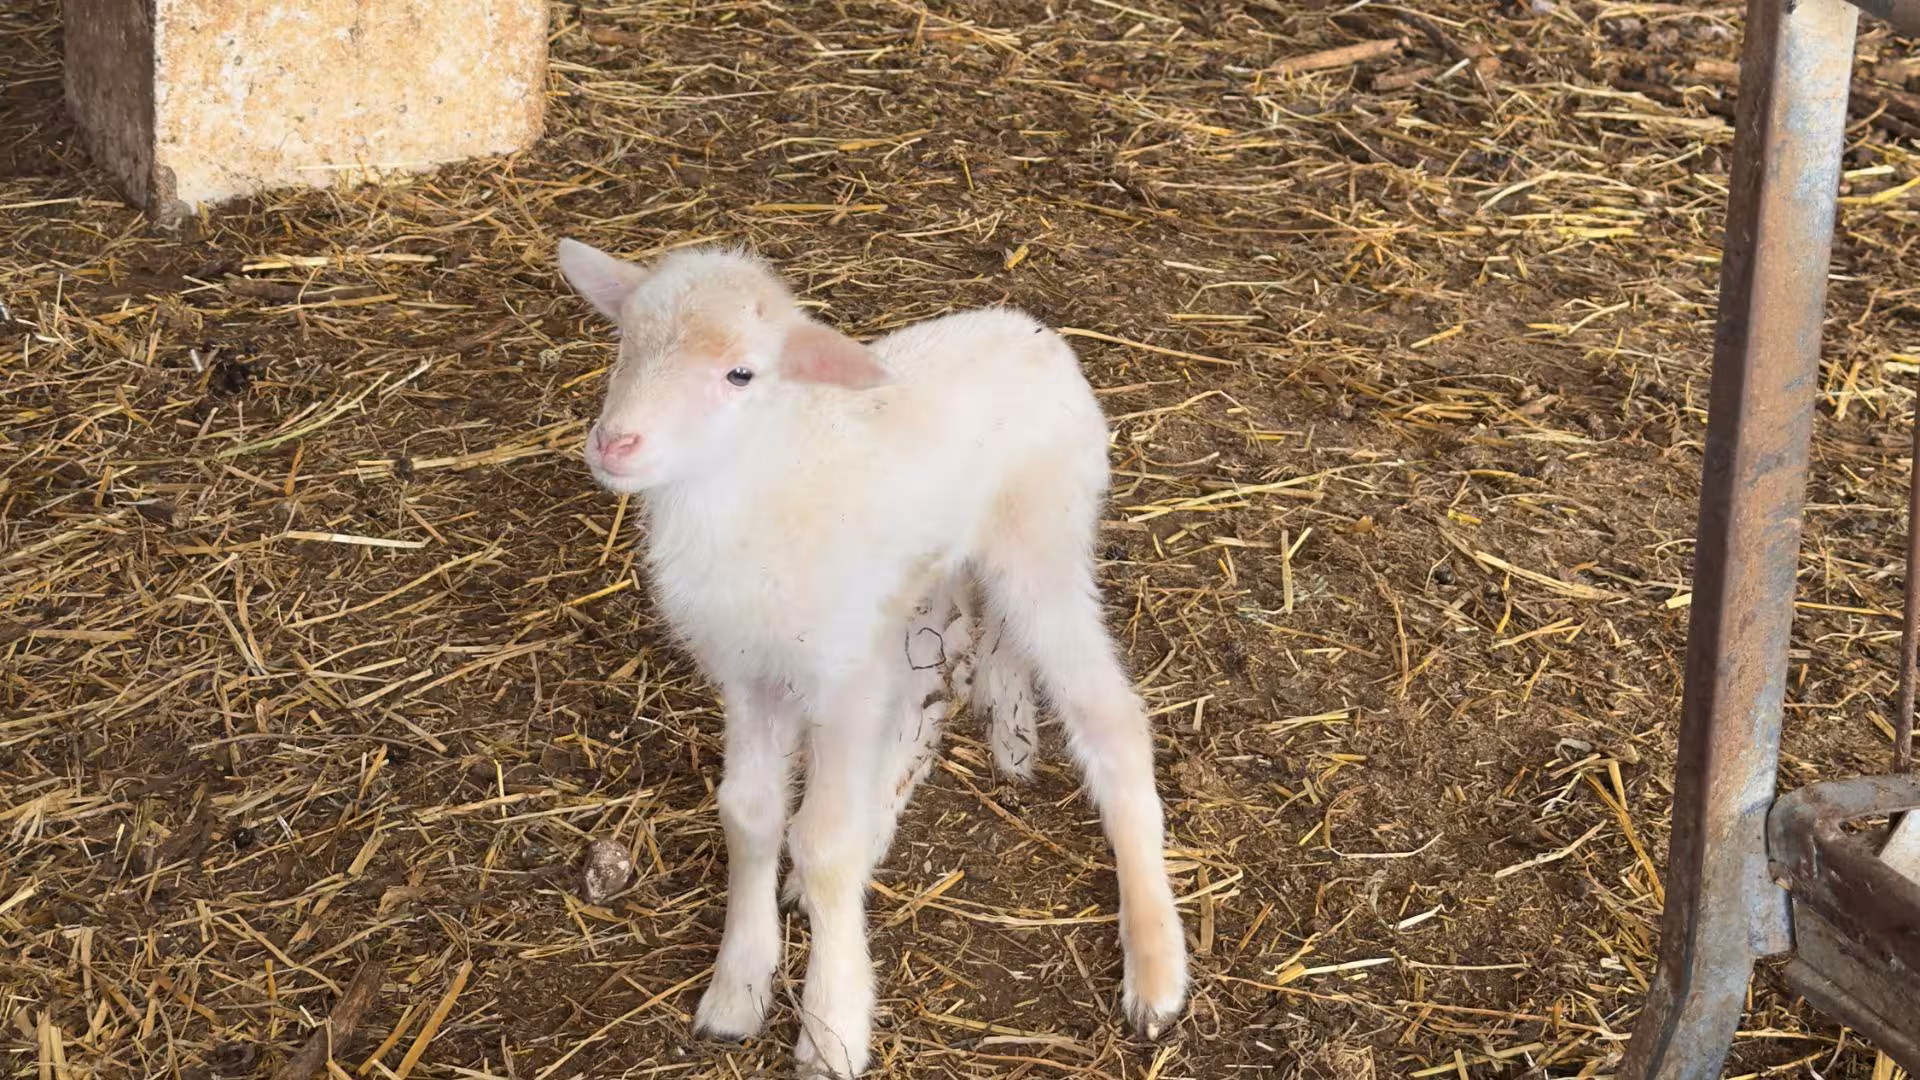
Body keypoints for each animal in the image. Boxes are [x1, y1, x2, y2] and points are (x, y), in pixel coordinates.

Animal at [556, 239, 1188, 1077]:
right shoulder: (750, 675)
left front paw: (833, 1026)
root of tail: (1036, 331)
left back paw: (1155, 970)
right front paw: (736, 990)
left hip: (1042, 538)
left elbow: (823, 841)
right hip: (926, 588)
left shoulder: (843, 679)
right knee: (938, 686)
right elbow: (749, 815)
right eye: (624, 340)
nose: (615, 443)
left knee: (1110, 717)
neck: (758, 486)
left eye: (741, 374)